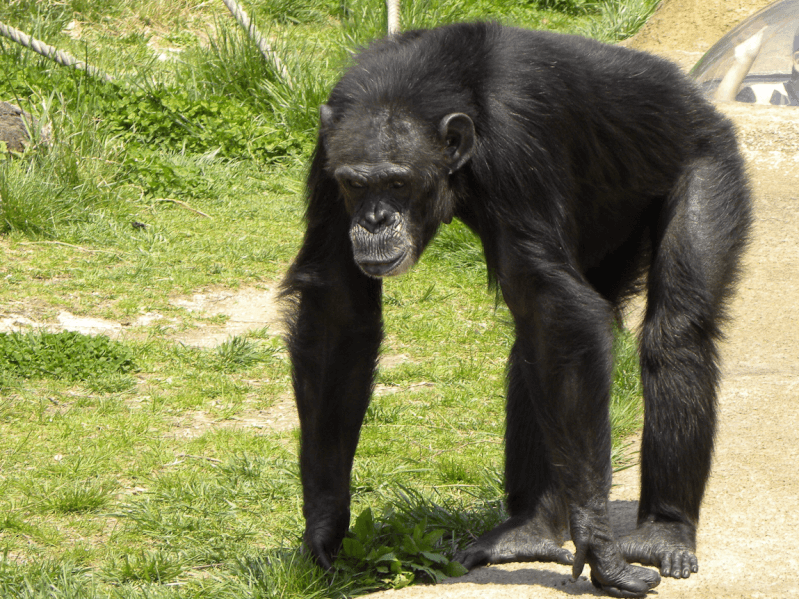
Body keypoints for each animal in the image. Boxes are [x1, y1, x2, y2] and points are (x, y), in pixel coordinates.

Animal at [282, 21, 752, 596]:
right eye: (355, 184)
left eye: (397, 182)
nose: (373, 221)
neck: (418, 87)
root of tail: (701, 98)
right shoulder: (329, 150)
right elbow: (338, 307)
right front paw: (325, 525)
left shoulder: (516, 138)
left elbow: (554, 306)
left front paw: (598, 543)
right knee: (538, 345)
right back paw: (530, 528)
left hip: (710, 158)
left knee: (674, 334)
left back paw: (664, 530)